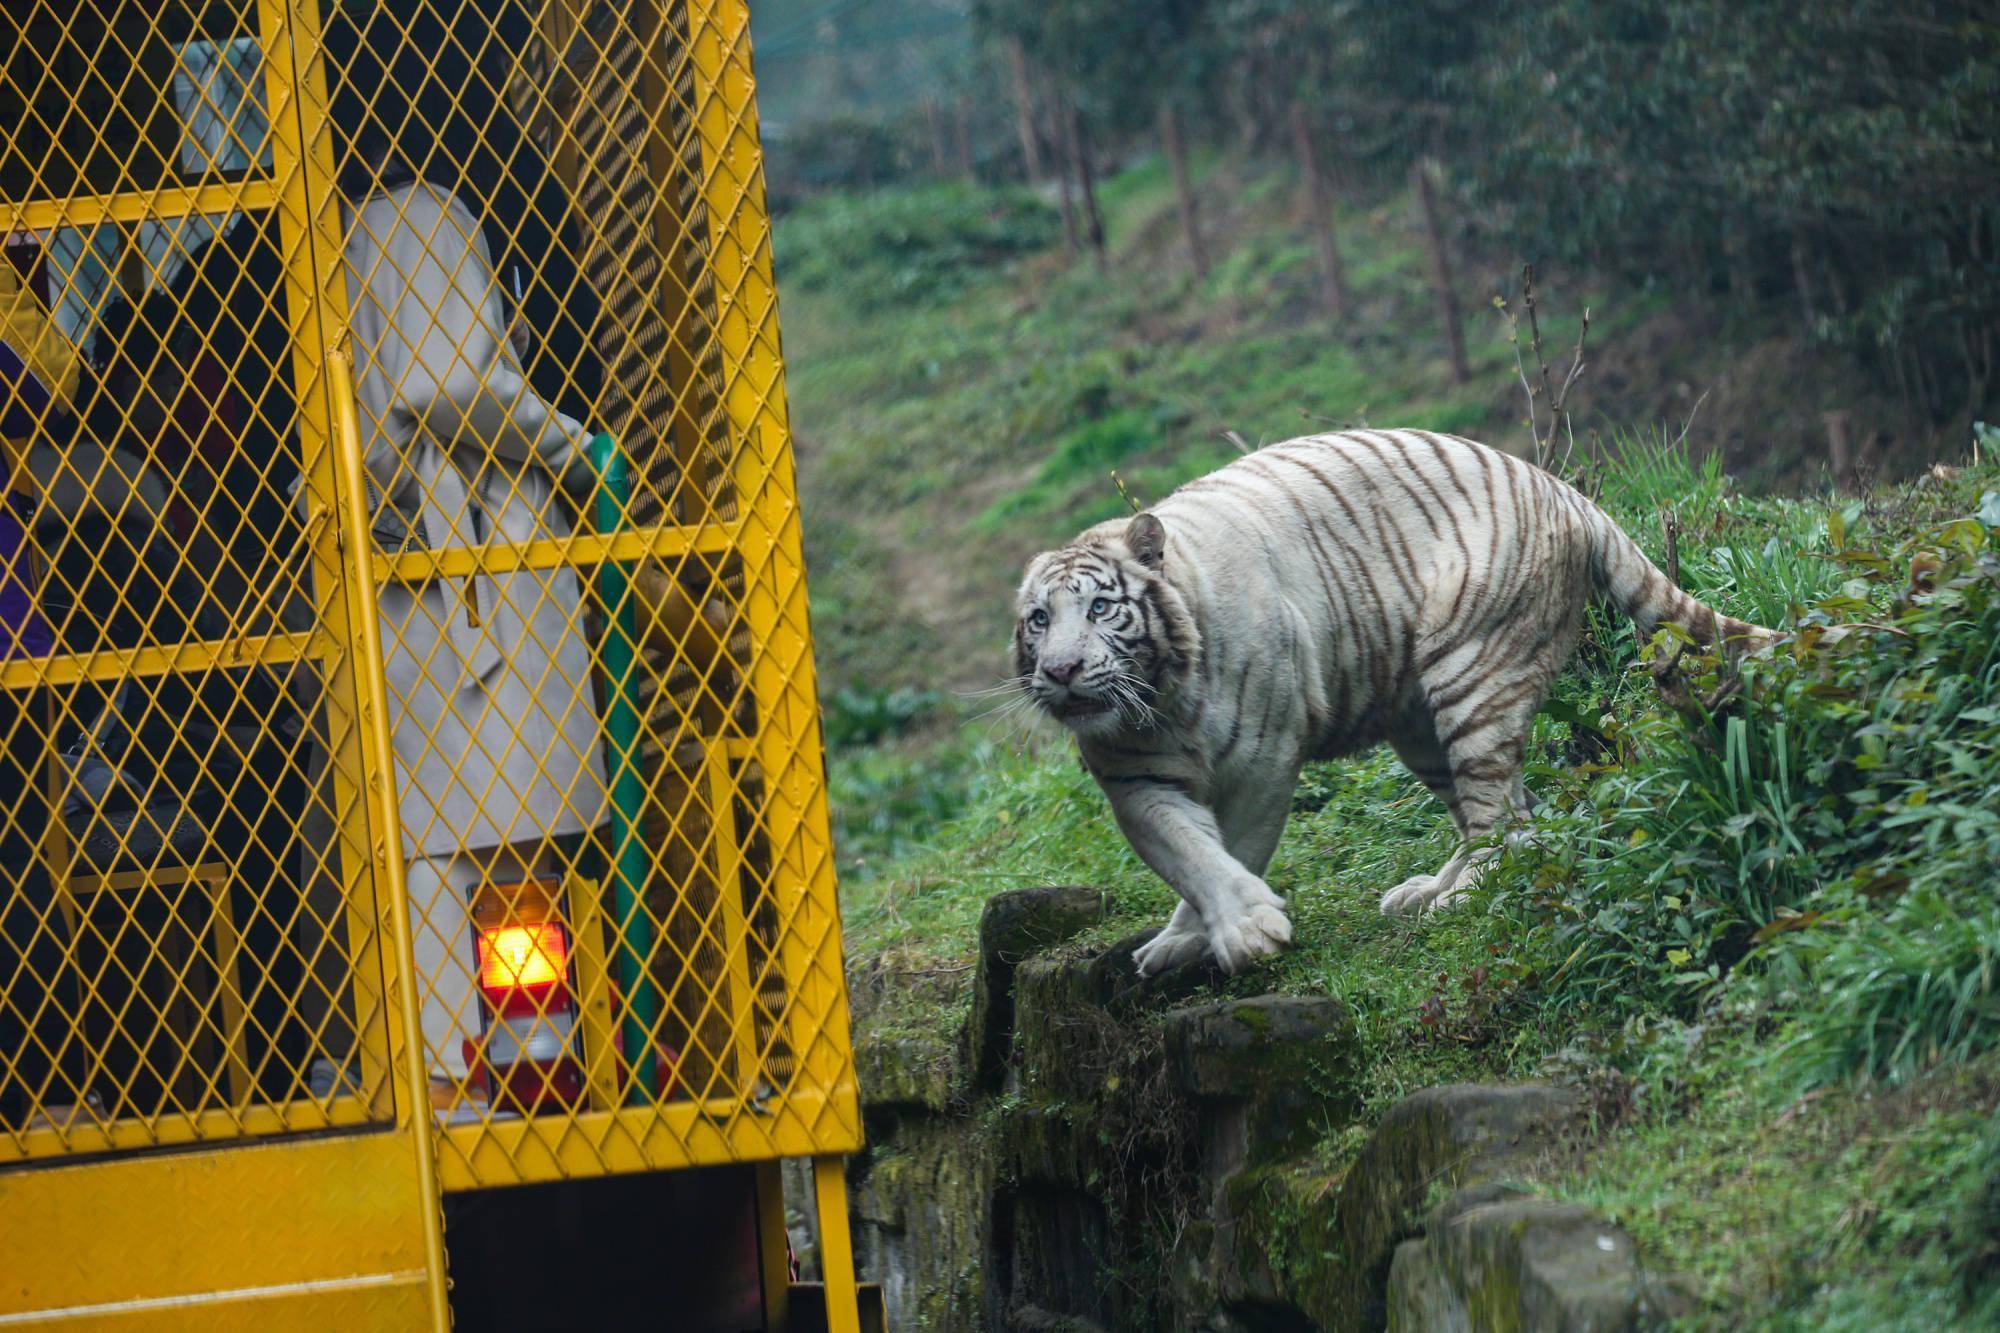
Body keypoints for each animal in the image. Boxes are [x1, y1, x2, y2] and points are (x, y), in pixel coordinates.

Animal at [1016, 430, 1768, 972]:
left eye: (1101, 607)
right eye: (1039, 620)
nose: (1061, 669)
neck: (1161, 702)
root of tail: (1561, 488)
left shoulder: (1263, 758)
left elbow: (1237, 847)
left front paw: (1245, 935)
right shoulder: (1134, 778)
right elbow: (1187, 856)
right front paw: (1191, 938)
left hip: (1472, 675)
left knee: (1498, 813)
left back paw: (1460, 895)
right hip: (1420, 727)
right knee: (1514, 815)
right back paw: (1430, 891)